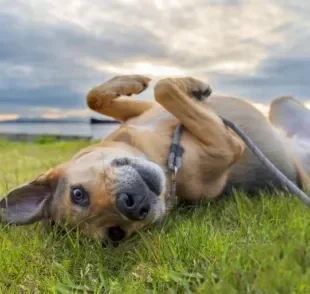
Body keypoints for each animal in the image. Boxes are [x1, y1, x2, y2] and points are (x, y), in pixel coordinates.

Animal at [0, 76, 310, 243]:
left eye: (77, 194)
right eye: (116, 234)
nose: (132, 205)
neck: (161, 156)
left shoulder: (143, 110)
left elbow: (97, 97)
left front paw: (143, 82)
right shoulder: (228, 145)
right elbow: (164, 89)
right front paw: (190, 87)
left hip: (282, 102)